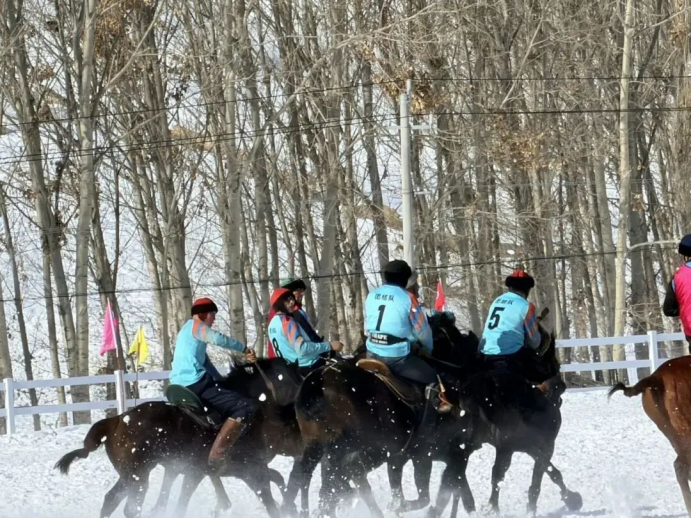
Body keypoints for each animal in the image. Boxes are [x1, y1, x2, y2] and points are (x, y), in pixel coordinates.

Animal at [55, 358, 304, 518]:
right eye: (297, 378)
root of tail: (117, 420)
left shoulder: (205, 472)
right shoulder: (248, 470)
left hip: (130, 476)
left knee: (111, 501)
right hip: (138, 477)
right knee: (130, 508)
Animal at [429, 326, 583, 518]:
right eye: (556, 364)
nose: (559, 389)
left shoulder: (529, 447)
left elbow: (551, 473)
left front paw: (571, 498)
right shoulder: (536, 447)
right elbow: (538, 478)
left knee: (454, 475)